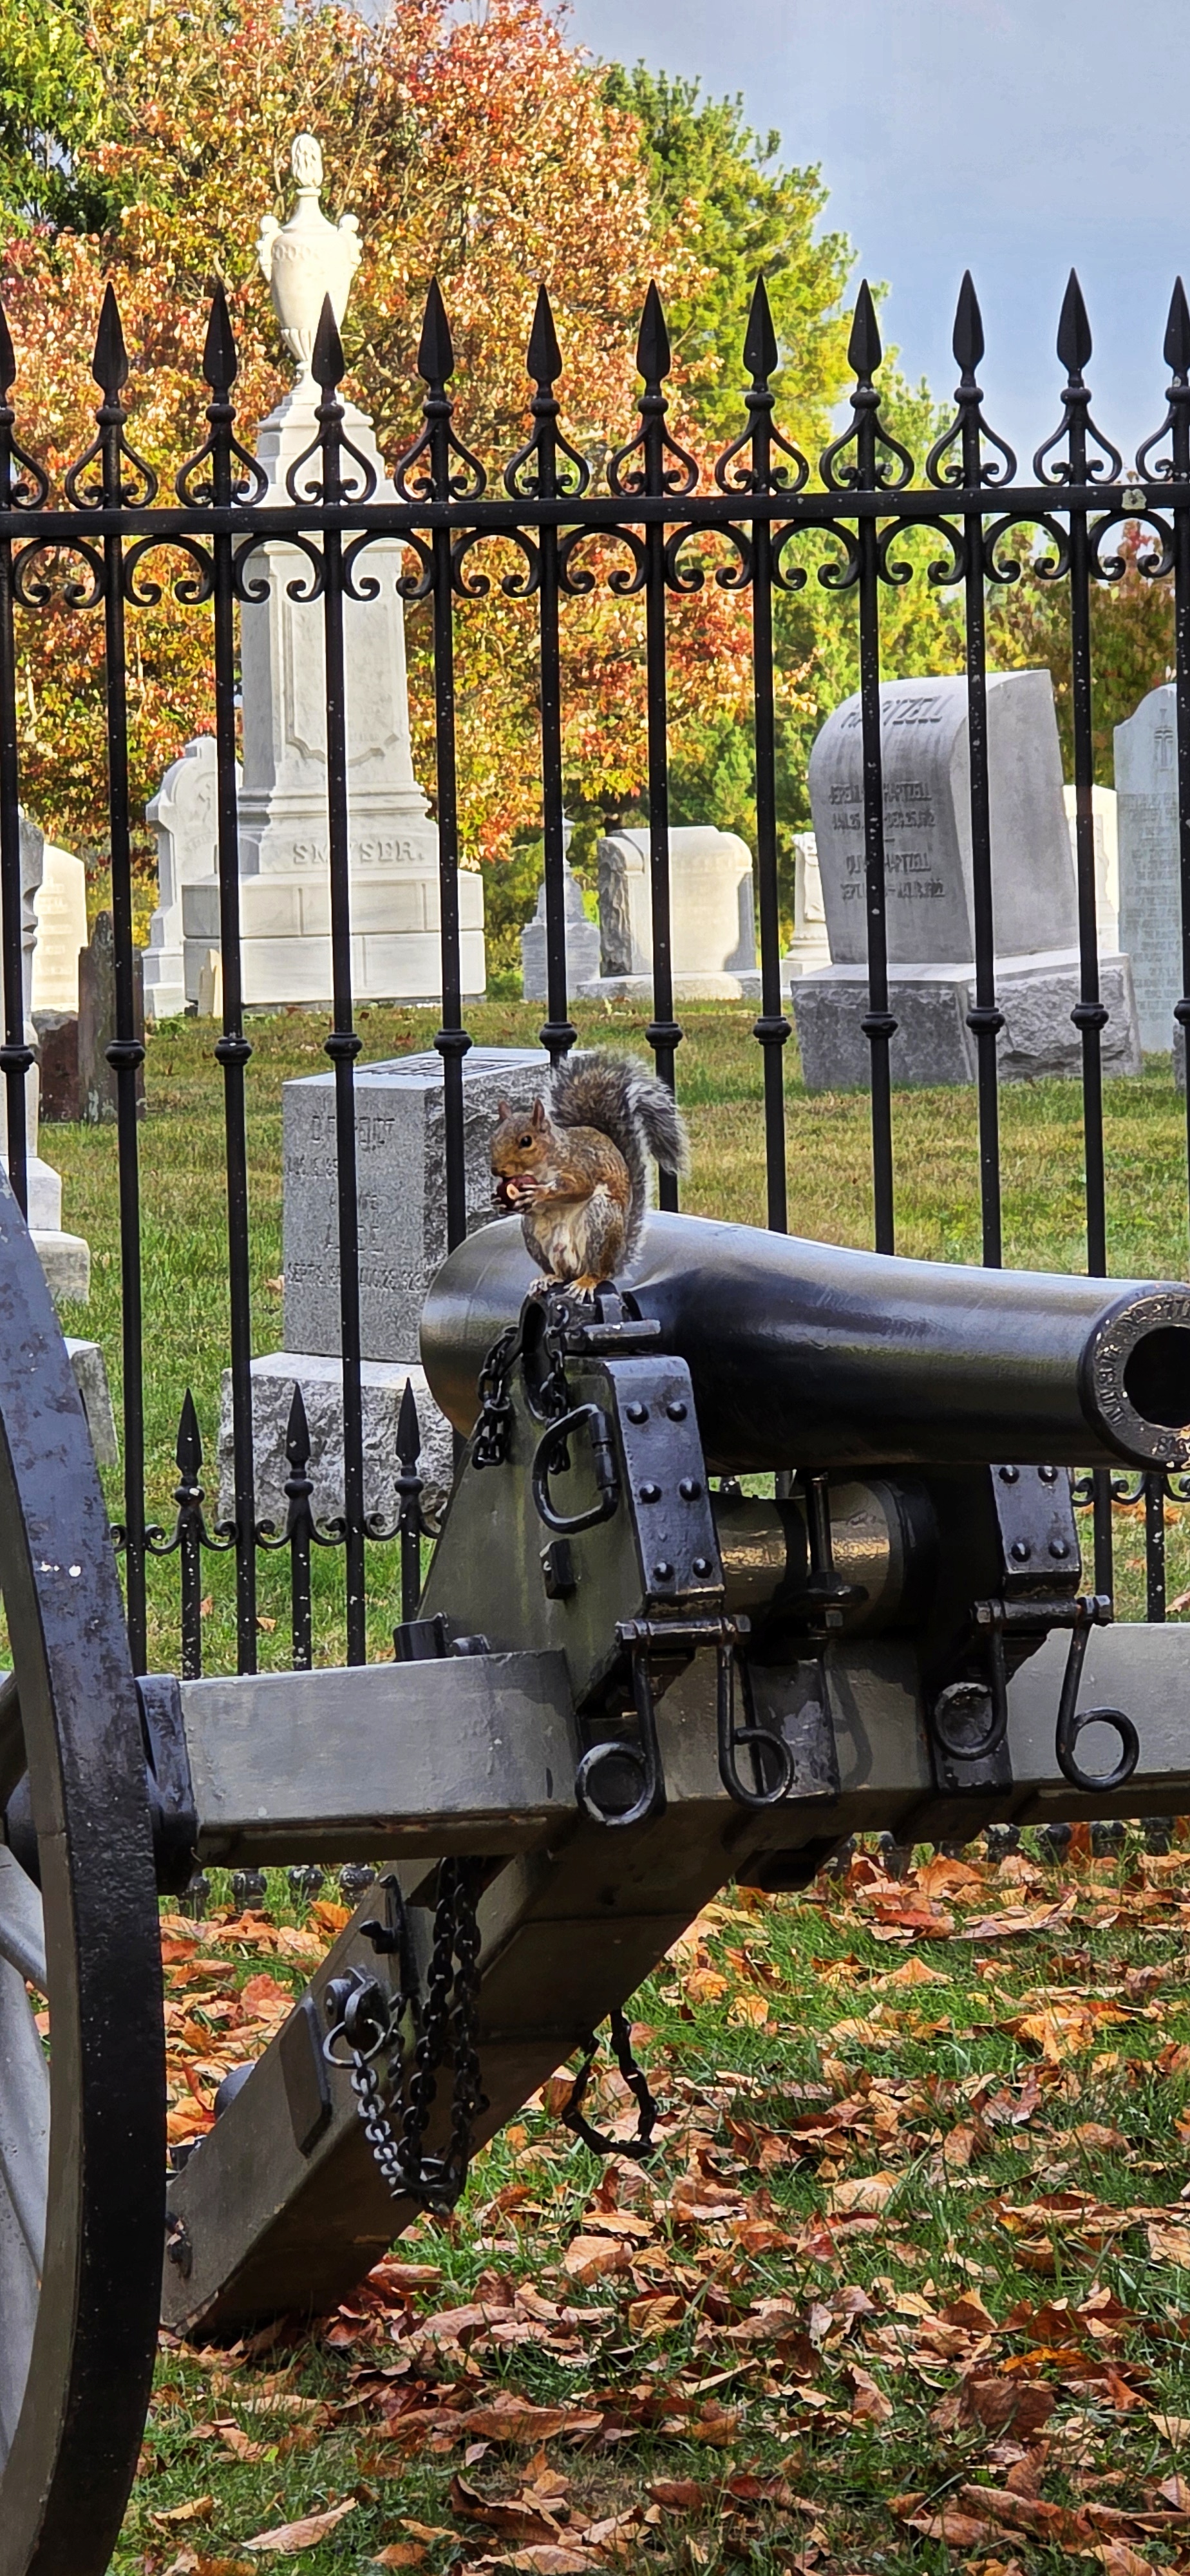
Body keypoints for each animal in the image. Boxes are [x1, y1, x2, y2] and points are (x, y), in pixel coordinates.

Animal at [490, 1048, 688, 1295]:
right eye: (494, 1137)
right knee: (560, 1271)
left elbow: (578, 1187)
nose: (496, 1169)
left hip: (601, 1220)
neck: (541, 1167)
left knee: (598, 1271)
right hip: (534, 1232)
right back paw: (548, 1277)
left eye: (526, 1141)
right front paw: (500, 1200)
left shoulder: (582, 1165)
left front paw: (540, 1192)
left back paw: (586, 1281)